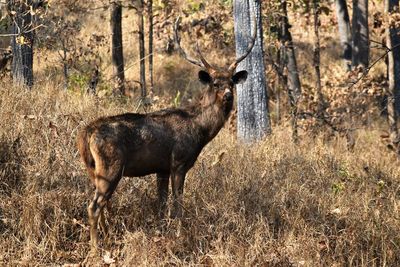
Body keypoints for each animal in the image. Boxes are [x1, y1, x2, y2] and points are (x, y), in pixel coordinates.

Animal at [76, 17, 255, 252]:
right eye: (216, 83)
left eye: (232, 82)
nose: (227, 96)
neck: (199, 129)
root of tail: (86, 133)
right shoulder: (178, 162)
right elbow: (177, 201)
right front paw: (180, 233)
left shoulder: (160, 168)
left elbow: (160, 204)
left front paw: (161, 231)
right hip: (111, 166)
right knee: (94, 205)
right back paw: (97, 248)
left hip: (93, 169)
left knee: (101, 203)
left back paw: (107, 236)